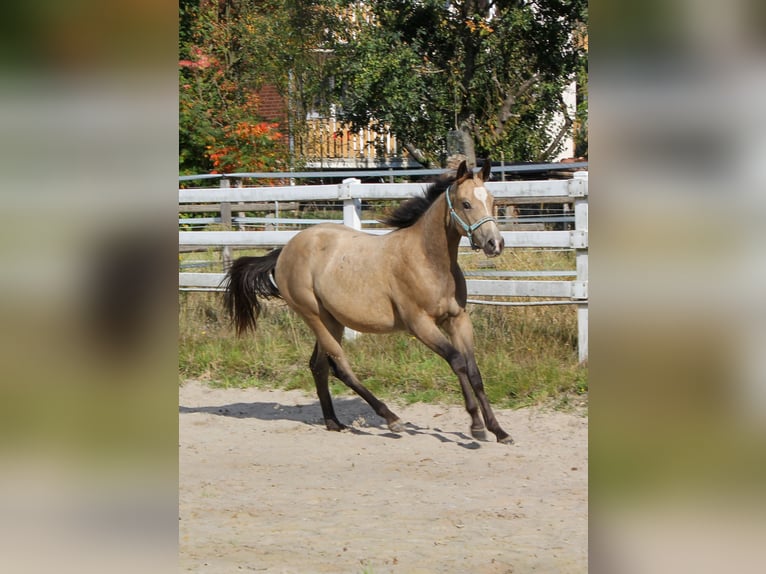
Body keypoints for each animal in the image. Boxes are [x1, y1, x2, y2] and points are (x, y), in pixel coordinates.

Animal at [223, 159, 513, 444]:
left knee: (319, 365)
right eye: (466, 204)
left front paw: (499, 431)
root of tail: (285, 251)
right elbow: (457, 361)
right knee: (339, 367)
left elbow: (474, 372)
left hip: (332, 320)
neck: (428, 259)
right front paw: (476, 426)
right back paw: (392, 419)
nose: (495, 244)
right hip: (314, 315)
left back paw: (333, 422)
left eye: (492, 200)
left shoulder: (457, 319)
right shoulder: (420, 324)